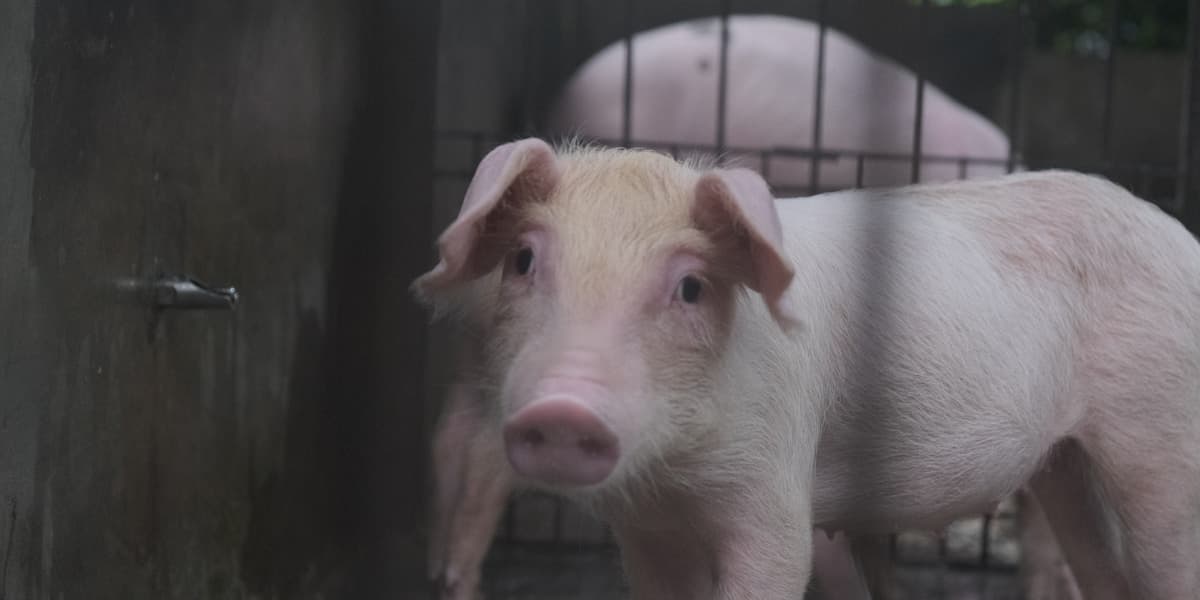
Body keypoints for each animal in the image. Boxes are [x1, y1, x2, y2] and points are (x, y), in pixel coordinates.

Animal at [416, 137, 1200, 599]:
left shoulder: (775, 488)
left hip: (1160, 431)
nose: (562, 409)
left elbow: (778, 560)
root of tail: (1178, 235)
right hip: (1065, 465)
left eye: (691, 286)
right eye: (524, 259)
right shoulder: (643, 527)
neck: (676, 474)